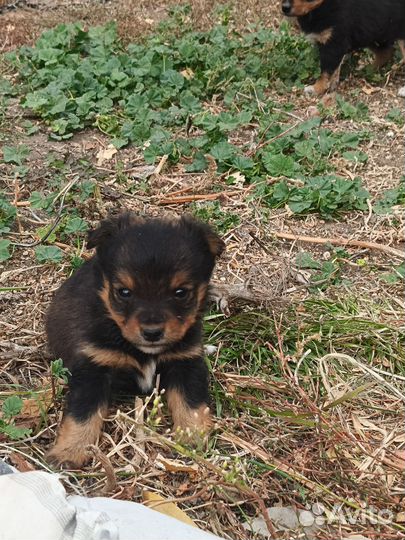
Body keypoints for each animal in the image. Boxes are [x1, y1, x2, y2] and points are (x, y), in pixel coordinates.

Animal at [47, 213, 226, 466]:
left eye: (181, 292)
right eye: (124, 292)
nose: (152, 333)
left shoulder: (185, 361)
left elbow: (191, 403)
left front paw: (193, 438)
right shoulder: (94, 366)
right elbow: (82, 413)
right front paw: (69, 452)